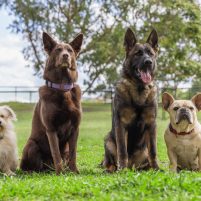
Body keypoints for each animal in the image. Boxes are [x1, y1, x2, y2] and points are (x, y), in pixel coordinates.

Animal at [20, 31, 83, 174]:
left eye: (70, 50)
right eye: (58, 50)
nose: (65, 56)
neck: (62, 88)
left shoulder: (75, 128)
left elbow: (74, 153)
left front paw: (74, 171)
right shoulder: (51, 129)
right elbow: (56, 153)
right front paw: (60, 173)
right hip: (31, 145)